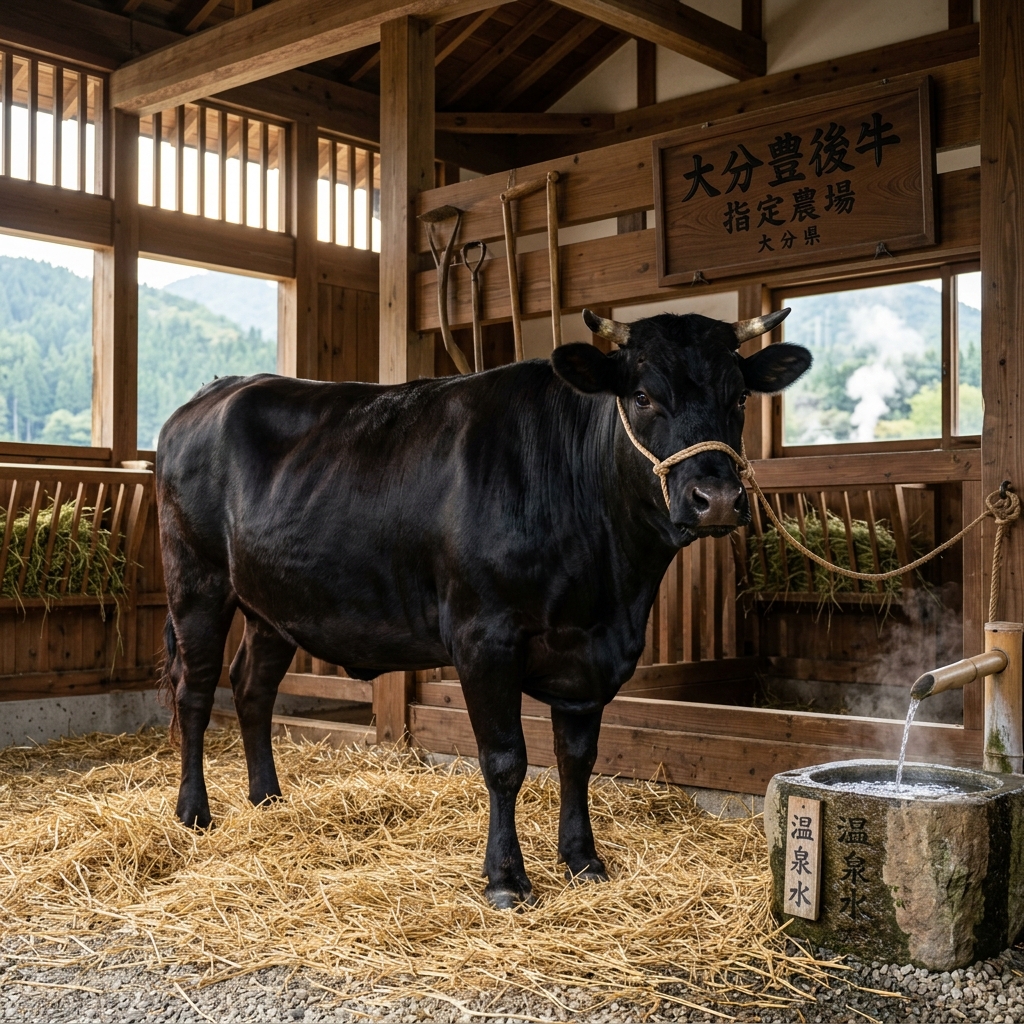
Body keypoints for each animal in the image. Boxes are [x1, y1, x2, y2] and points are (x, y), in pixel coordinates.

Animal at [156, 306, 810, 908]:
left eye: (739, 397)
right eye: (644, 396)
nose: (717, 498)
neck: (610, 587)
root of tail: (212, 393)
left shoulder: (589, 656)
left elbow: (578, 758)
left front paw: (583, 860)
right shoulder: (483, 637)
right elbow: (505, 760)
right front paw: (506, 879)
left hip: (271, 604)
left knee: (251, 687)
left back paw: (267, 799)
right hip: (197, 580)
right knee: (196, 690)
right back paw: (194, 812)